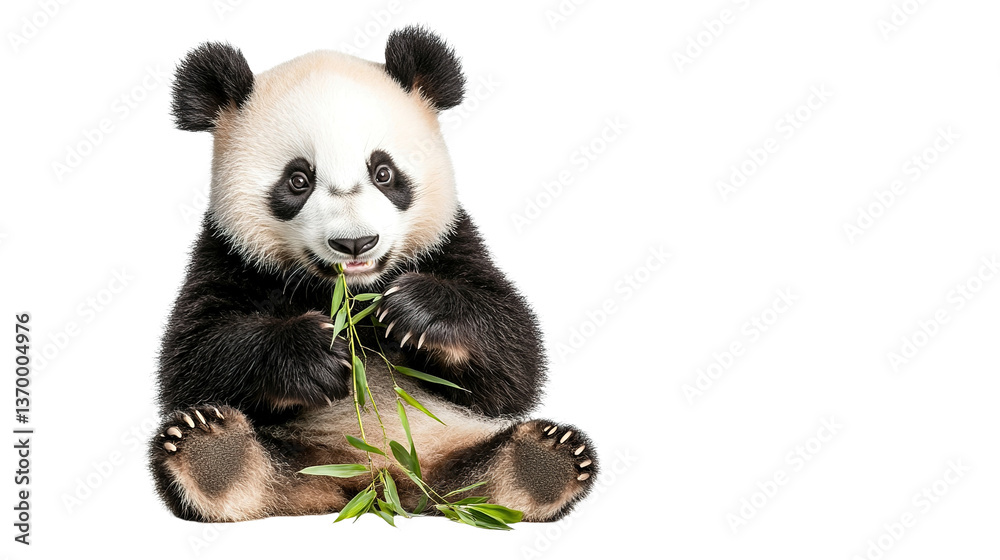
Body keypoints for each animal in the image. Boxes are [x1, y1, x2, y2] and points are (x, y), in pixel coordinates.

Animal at [150, 26, 597, 524]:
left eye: (383, 172)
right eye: (298, 180)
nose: (355, 244)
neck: (351, 292)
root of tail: (378, 483)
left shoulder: (450, 241)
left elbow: (513, 363)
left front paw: (415, 312)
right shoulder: (228, 254)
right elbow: (194, 360)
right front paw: (317, 353)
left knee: (492, 469)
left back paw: (541, 462)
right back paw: (215, 455)